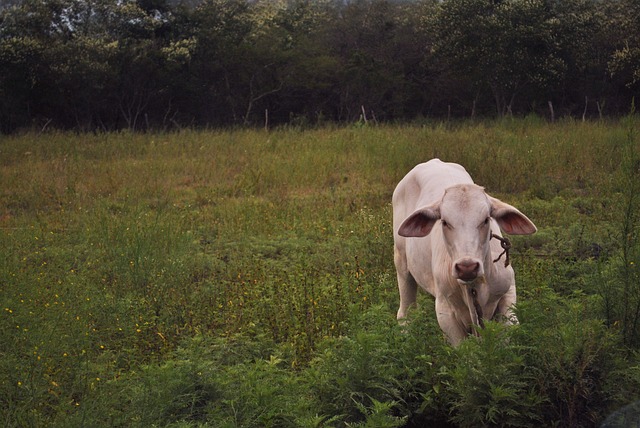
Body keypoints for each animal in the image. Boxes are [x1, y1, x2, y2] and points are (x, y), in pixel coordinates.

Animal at [392, 159, 536, 346]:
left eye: (486, 220)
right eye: (444, 222)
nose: (467, 267)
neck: (475, 286)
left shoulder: (508, 294)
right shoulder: (445, 311)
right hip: (401, 263)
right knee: (406, 312)